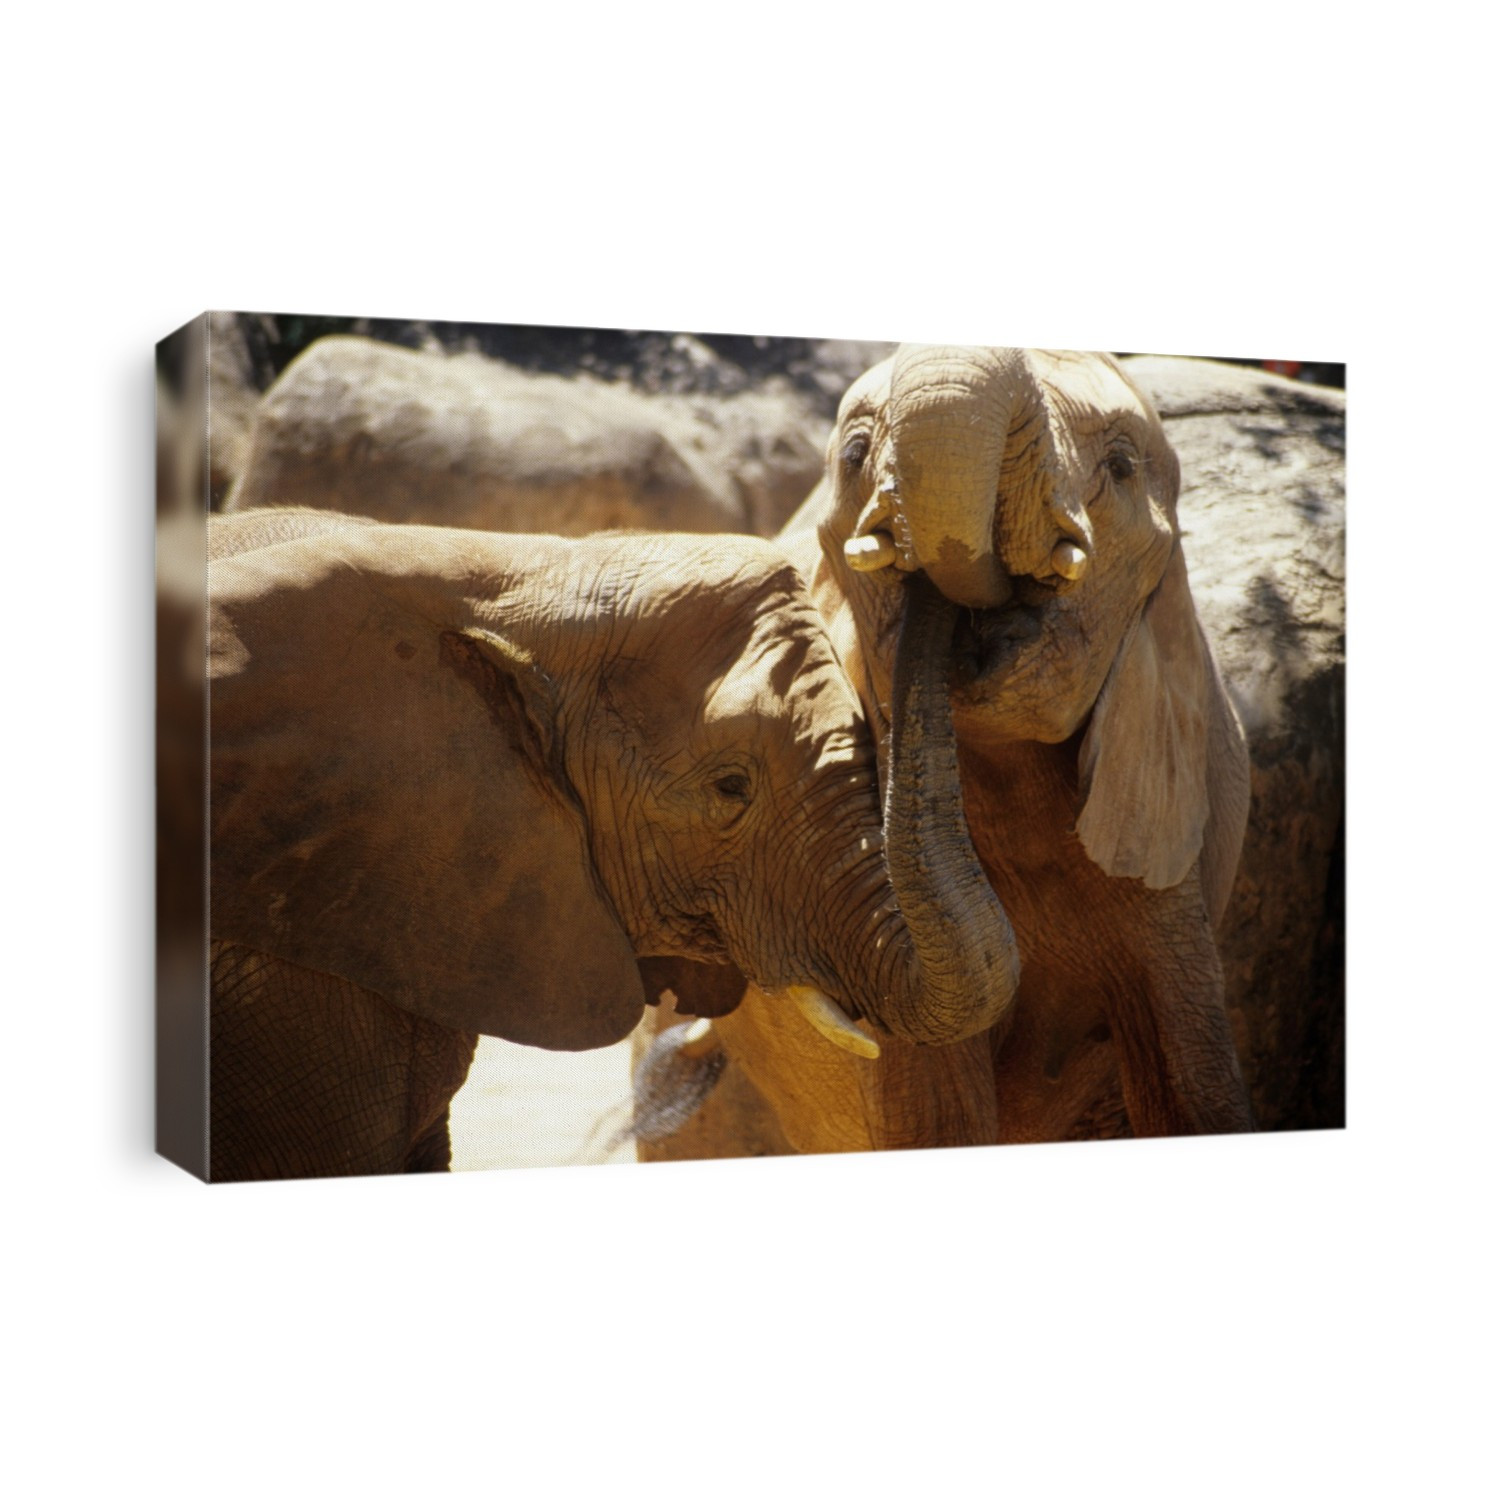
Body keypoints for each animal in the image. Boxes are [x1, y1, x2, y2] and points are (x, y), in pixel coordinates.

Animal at [651, 344, 1257, 1151]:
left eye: (1122, 466)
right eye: (854, 455)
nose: (955, 619)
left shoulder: (1166, 856)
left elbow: (1192, 1088)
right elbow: (934, 1115)